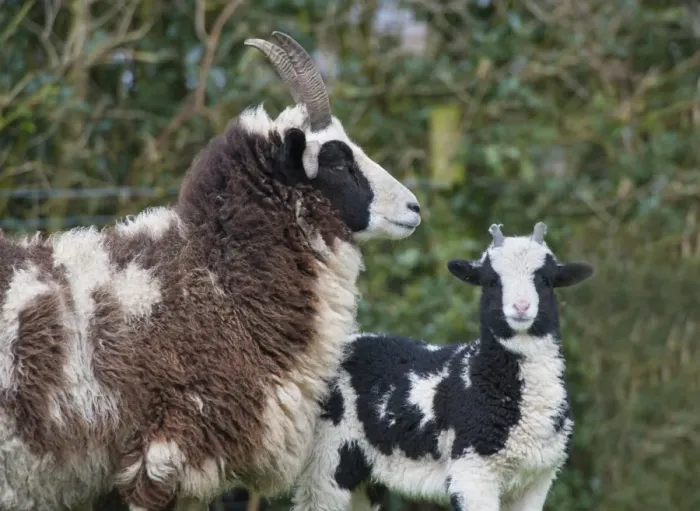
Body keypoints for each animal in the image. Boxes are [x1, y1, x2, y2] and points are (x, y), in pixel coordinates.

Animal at [291, 222, 594, 511]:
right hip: (328, 461)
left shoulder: (537, 479)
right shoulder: (472, 472)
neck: (485, 377)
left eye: (545, 280)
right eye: (491, 281)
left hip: (363, 476)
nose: (521, 308)